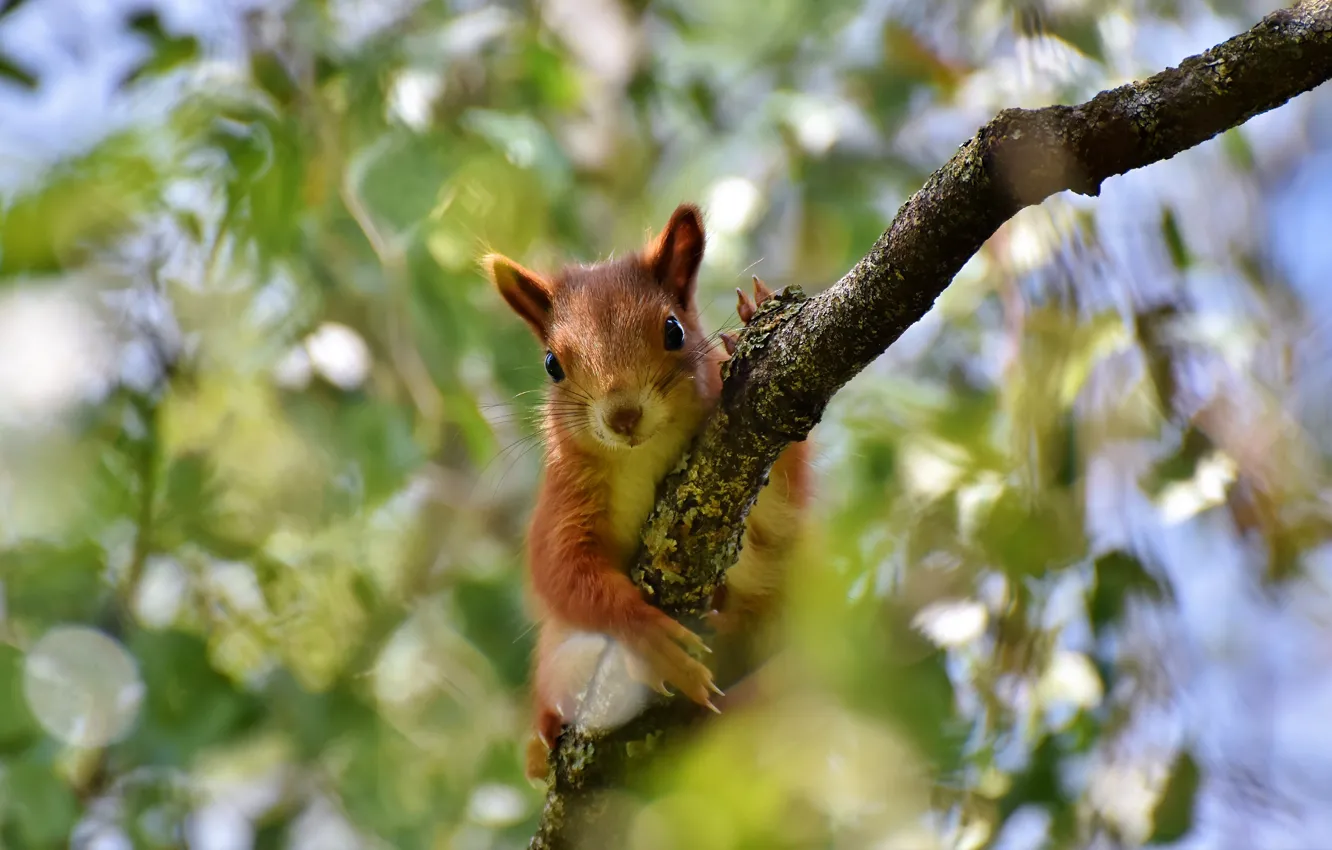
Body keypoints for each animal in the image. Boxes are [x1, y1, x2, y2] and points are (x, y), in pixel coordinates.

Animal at [482, 205, 804, 778]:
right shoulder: (564, 500)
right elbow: (562, 572)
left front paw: (753, 319)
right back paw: (543, 741)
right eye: (552, 364)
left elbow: (782, 503)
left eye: (673, 329)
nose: (624, 415)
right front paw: (647, 636)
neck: (642, 454)